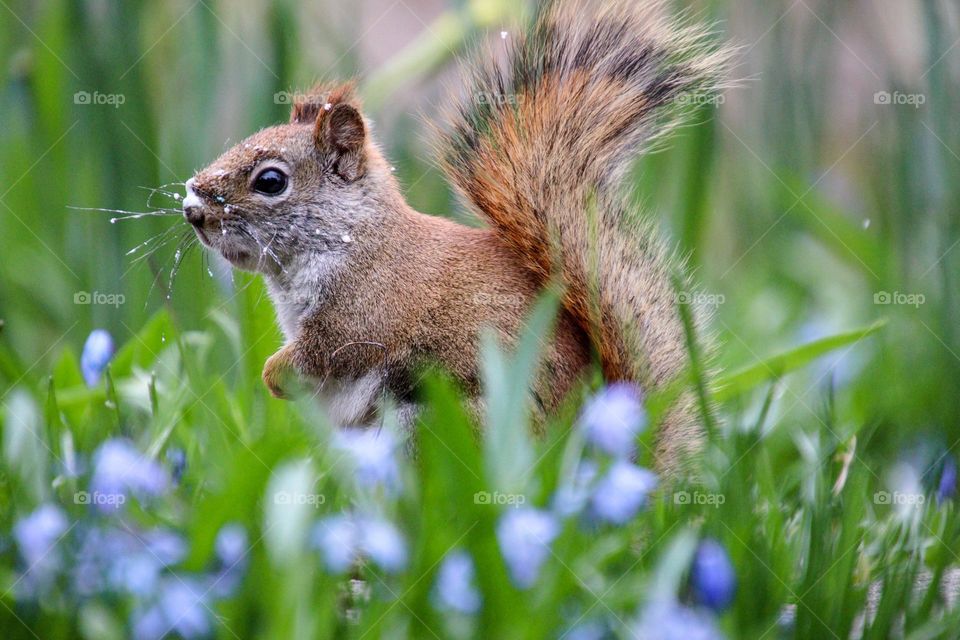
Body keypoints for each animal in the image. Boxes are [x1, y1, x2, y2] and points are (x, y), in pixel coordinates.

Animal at [182, 0, 728, 470]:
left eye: (271, 181)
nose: (192, 211)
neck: (350, 238)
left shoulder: (367, 309)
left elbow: (332, 350)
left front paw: (273, 374)